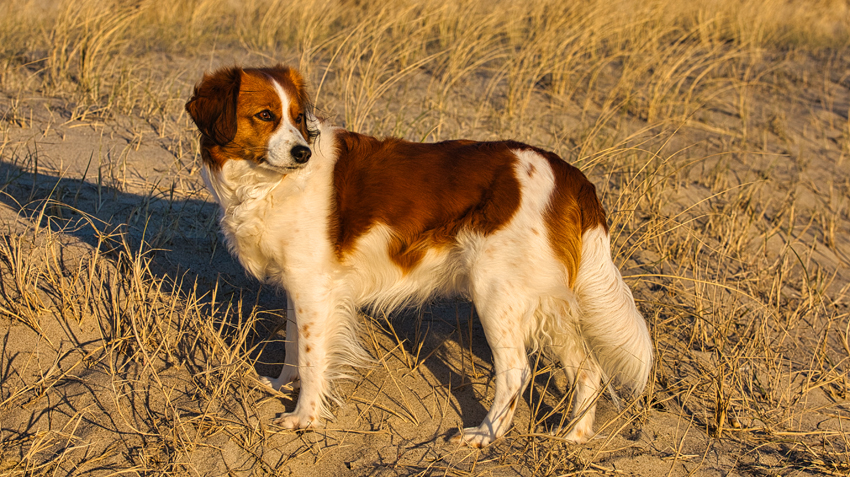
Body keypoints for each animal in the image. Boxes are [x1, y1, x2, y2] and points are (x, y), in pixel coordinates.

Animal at [184, 64, 648, 446]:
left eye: (298, 118)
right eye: (265, 115)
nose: (303, 152)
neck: (265, 183)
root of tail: (570, 175)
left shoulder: (314, 287)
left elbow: (313, 357)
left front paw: (305, 418)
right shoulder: (299, 285)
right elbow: (294, 344)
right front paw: (284, 385)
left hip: (496, 292)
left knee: (517, 370)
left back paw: (486, 434)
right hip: (546, 300)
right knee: (589, 368)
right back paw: (575, 435)